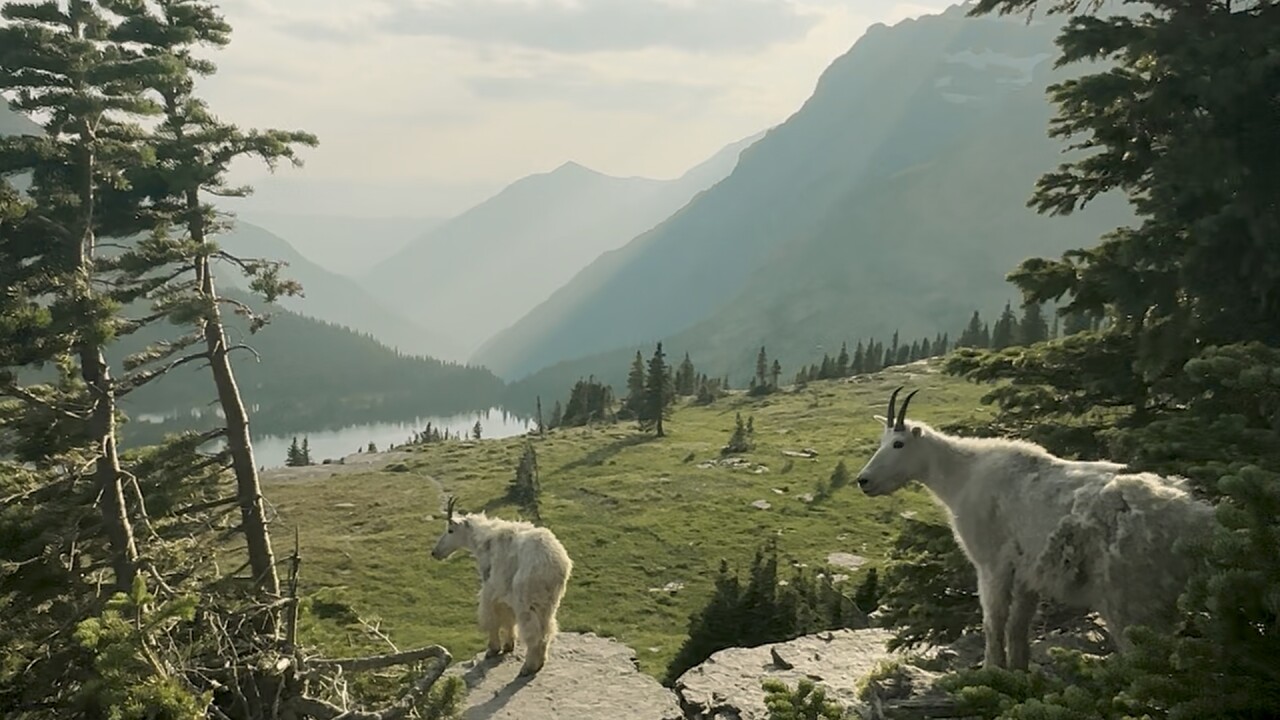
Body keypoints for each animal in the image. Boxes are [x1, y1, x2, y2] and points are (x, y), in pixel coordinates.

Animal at [431, 496, 573, 676]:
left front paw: (493, 649)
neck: (484, 540)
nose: (435, 553)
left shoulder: (491, 586)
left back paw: (528, 667)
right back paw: (539, 662)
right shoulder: (505, 591)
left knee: (533, 632)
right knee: (547, 629)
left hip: (526, 598)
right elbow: (508, 618)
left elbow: (492, 617)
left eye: (450, 530)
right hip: (549, 602)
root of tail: (554, 564)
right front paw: (508, 646)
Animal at [855, 387, 1213, 670]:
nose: (864, 481)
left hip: (1130, 595)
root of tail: (1195, 520)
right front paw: (1018, 672)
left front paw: (991, 671)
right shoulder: (1028, 572)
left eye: (899, 443)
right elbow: (1018, 624)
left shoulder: (992, 563)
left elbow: (994, 620)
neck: (962, 476)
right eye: (882, 440)